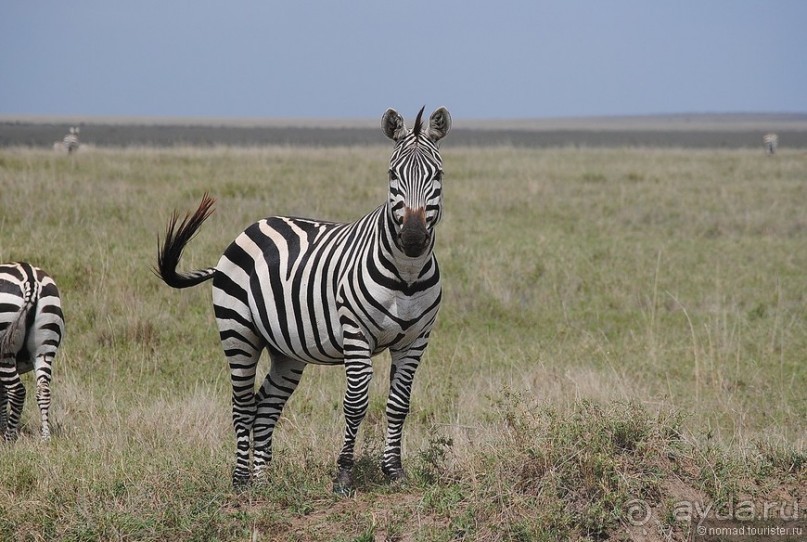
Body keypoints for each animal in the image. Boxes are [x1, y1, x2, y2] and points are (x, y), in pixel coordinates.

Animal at [0, 264, 64, 442]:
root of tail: (30, 277)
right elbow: (2, 395)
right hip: (45, 348)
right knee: (43, 390)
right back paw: (45, 438)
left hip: (5, 348)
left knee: (18, 391)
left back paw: (8, 438)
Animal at [155, 106, 452, 492]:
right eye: (392, 174)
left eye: (438, 174)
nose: (413, 239)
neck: (407, 275)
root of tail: (253, 226)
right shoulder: (356, 334)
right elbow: (355, 404)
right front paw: (343, 475)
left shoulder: (416, 340)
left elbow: (399, 404)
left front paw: (394, 472)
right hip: (238, 331)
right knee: (242, 405)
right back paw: (240, 481)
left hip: (286, 350)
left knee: (265, 405)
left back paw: (263, 482)